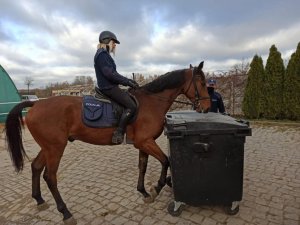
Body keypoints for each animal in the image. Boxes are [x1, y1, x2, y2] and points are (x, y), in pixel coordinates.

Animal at [5, 61, 211, 223]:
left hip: (48, 147)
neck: (151, 102)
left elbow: (143, 166)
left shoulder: (144, 143)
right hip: (55, 148)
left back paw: (39, 200)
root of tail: (36, 103)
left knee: (36, 167)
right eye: (201, 82)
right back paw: (65, 213)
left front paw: (144, 192)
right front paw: (157, 188)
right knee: (50, 177)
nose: (208, 107)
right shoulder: (146, 142)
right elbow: (165, 161)